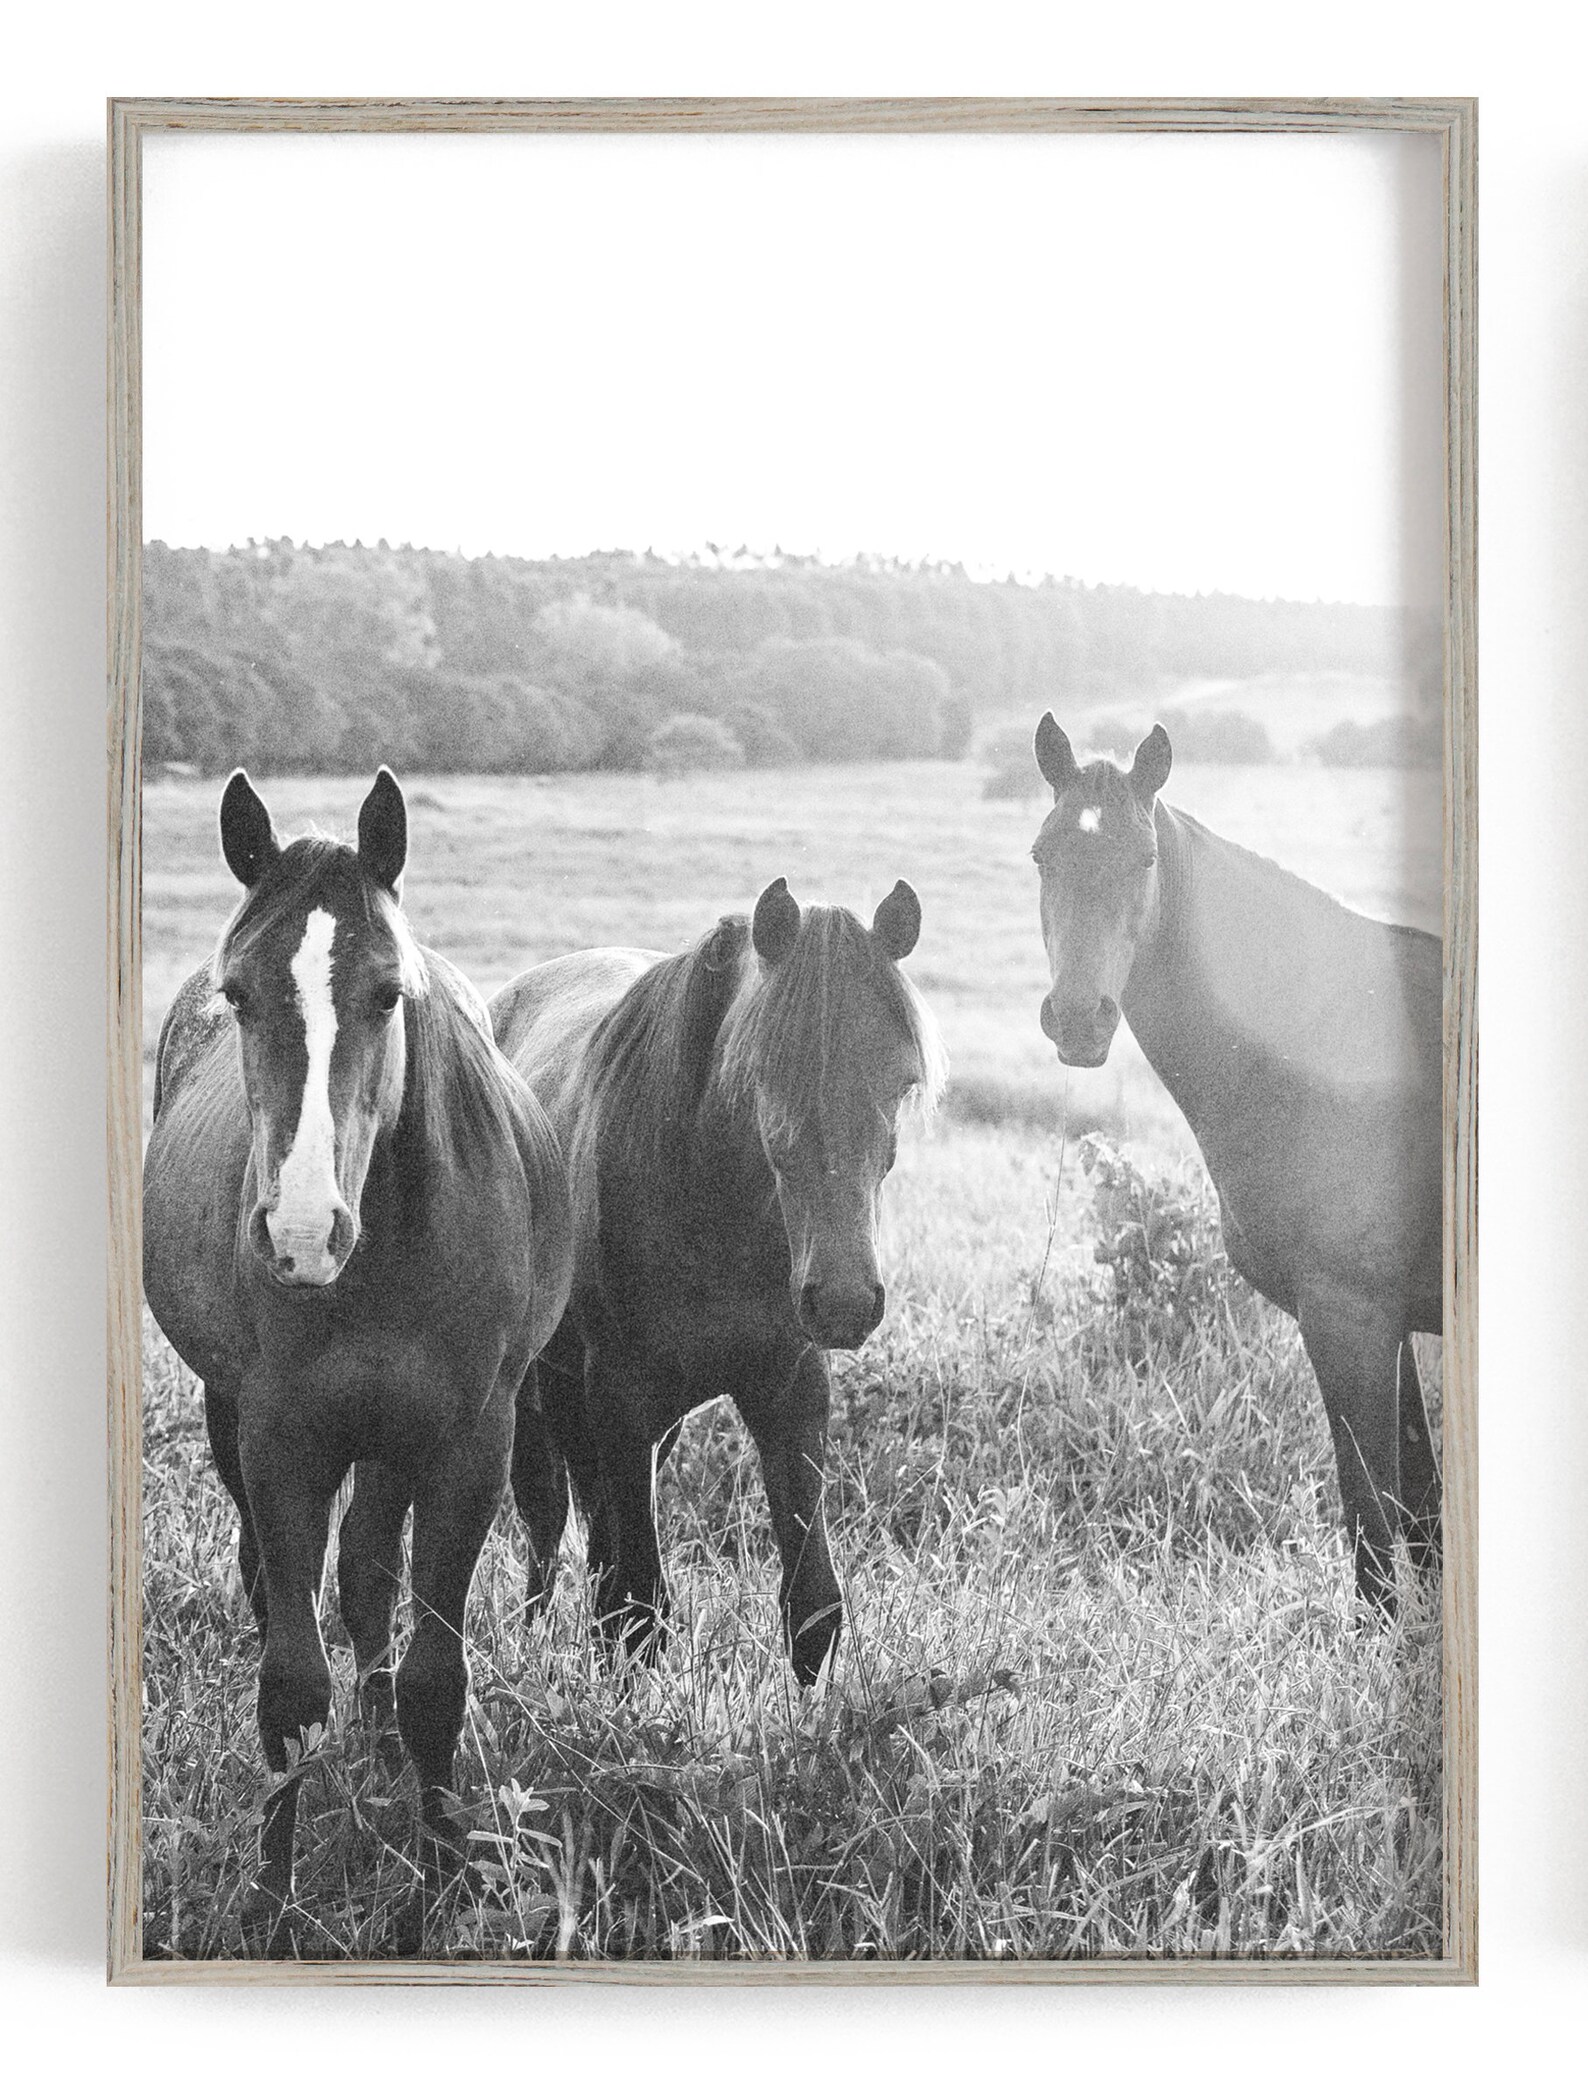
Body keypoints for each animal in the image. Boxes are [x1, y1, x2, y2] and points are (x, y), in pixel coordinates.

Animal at [143, 769, 572, 1946]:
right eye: (239, 993)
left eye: (387, 994)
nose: (299, 1233)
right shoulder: (281, 1438)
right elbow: (290, 1682)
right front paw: (271, 1895)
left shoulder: (469, 1444)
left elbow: (433, 1675)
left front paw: (444, 1878)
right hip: (237, 1418)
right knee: (283, 1580)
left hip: (392, 1441)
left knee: (372, 1573)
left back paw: (381, 1747)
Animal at [490, 876, 946, 1684]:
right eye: (767, 1075)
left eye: (901, 1081)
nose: (845, 1302)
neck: (713, 1204)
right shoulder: (620, 1393)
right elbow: (640, 1606)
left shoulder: (789, 1387)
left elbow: (812, 1606)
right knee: (548, 1519)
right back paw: (531, 1639)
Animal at [1030, 716, 1442, 1612]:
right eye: (1043, 855)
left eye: (1145, 859)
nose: (1078, 1018)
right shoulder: (1388, 1322)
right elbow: (1422, 1513)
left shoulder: (1351, 1318)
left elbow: (1373, 1528)